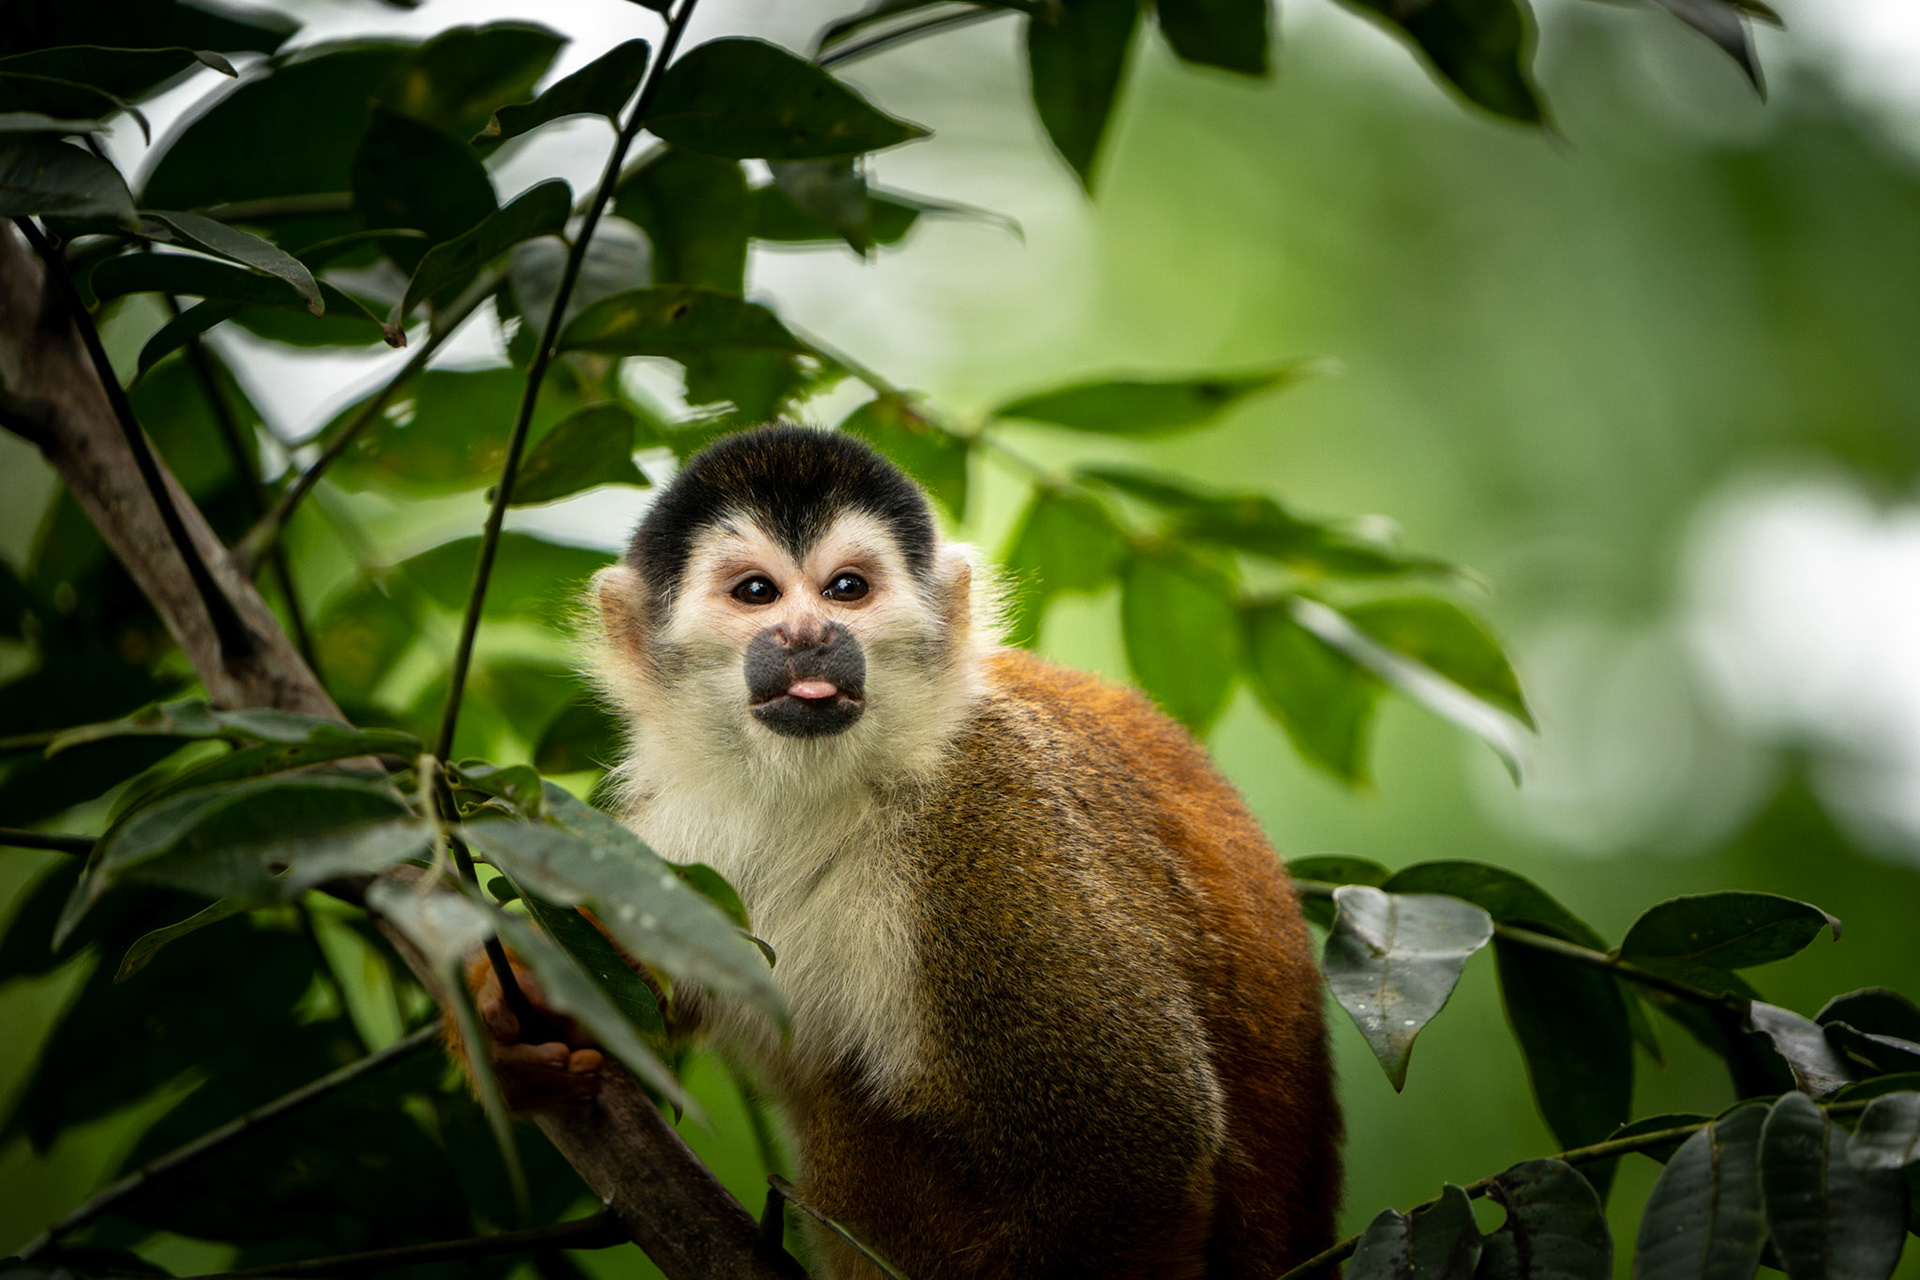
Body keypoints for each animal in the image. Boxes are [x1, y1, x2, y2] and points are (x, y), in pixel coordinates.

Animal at [473, 424, 1341, 1279]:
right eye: (756, 593)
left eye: (846, 589)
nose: (808, 635)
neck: (822, 790)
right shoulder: (672, 831)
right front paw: (514, 1015)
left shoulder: (993, 818)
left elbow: (1136, 1154)